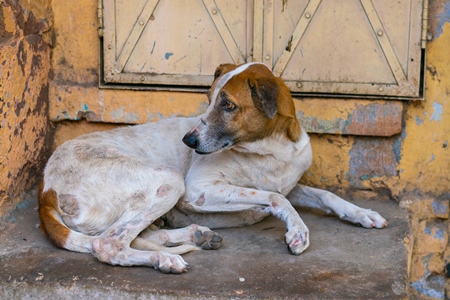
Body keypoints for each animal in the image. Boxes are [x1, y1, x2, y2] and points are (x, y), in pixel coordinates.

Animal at [37, 62, 386, 274]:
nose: (188, 140)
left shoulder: (289, 183)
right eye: (208, 99)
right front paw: (297, 229)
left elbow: (323, 195)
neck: (271, 151)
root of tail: (46, 188)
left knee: (135, 234)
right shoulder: (199, 189)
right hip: (170, 180)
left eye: (228, 105)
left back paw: (195, 235)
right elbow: (275, 199)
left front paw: (362, 213)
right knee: (108, 244)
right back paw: (164, 258)